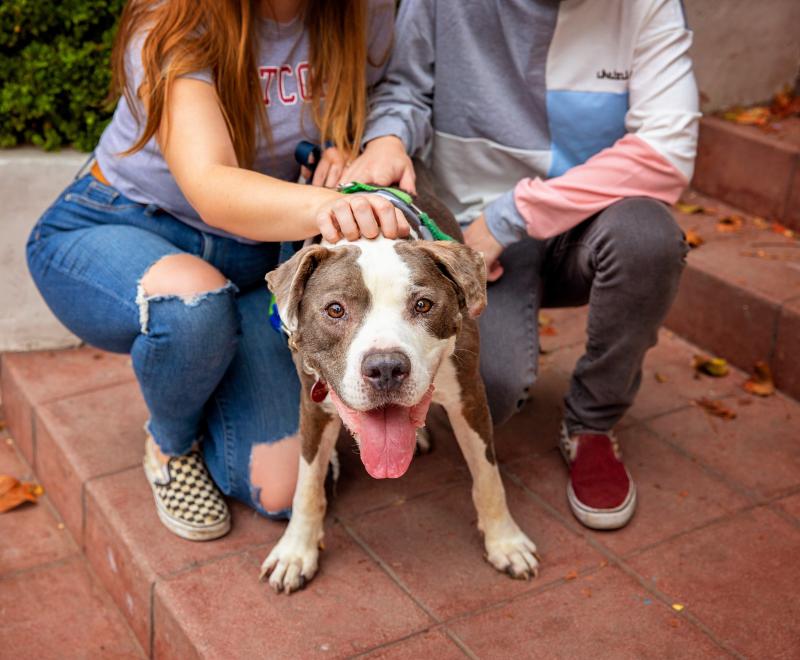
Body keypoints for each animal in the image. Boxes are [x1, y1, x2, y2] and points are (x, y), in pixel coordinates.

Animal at [262, 164, 536, 592]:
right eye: (335, 310)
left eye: (423, 304)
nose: (386, 367)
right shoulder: (314, 403)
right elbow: (306, 484)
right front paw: (295, 551)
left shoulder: (469, 396)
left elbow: (488, 476)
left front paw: (505, 542)